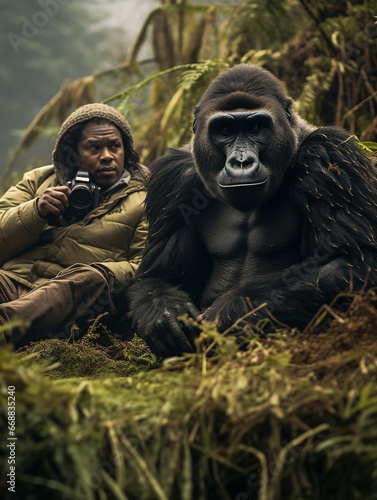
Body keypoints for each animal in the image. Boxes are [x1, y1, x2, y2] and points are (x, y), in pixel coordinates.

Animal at [128, 64, 376, 358]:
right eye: (224, 129)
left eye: (256, 127)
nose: (241, 161)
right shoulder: (173, 178)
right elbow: (157, 277)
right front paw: (165, 314)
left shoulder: (329, 153)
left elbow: (352, 260)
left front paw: (229, 315)